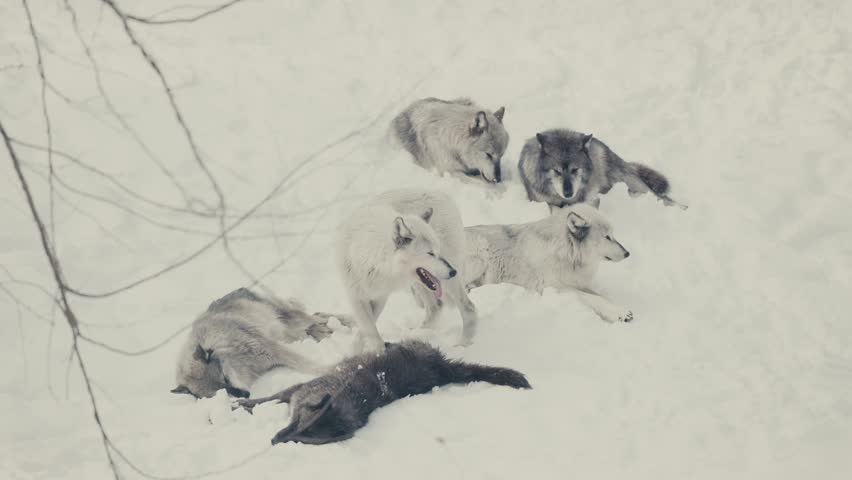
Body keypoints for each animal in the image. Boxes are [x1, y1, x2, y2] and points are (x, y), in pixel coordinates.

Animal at [171, 288, 339, 399]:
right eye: (218, 393)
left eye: (225, 378)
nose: (245, 395)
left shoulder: (271, 349)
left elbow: (309, 365)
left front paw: (332, 370)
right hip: (291, 333)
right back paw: (322, 331)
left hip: (293, 321)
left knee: (320, 317)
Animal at [234, 339, 531, 445]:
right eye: (298, 424)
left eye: (303, 438)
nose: (274, 441)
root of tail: (443, 370)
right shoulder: (295, 392)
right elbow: (267, 398)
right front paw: (240, 405)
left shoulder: (297, 391)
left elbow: (265, 399)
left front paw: (237, 405)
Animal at [337, 189, 479, 352]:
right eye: (431, 253)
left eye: (438, 250)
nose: (453, 271)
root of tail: (444, 196)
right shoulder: (357, 297)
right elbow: (367, 328)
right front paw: (354, 352)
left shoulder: (381, 297)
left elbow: (370, 332)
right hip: (419, 283)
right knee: (435, 308)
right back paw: (418, 334)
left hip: (443, 283)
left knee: (468, 308)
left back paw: (461, 345)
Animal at [464, 203, 634, 323]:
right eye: (607, 237)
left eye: (612, 235)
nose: (627, 253)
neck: (566, 252)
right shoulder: (554, 287)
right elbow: (593, 298)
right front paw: (619, 313)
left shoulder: (577, 282)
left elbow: (600, 296)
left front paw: (616, 308)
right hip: (481, 253)